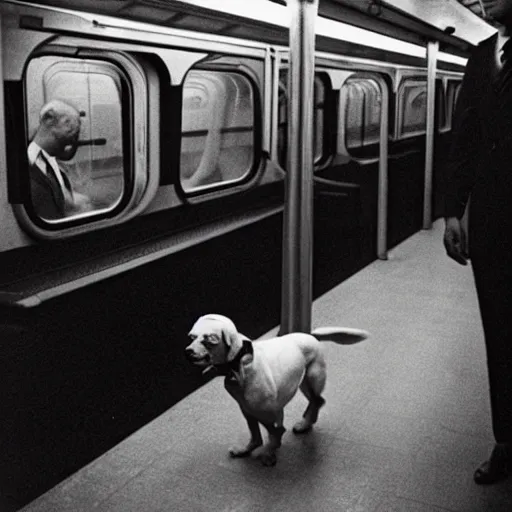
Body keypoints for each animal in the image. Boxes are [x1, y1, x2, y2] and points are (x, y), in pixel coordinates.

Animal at [185, 314, 368, 466]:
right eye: (192, 337)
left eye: (210, 339)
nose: (188, 351)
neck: (240, 364)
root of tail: (310, 335)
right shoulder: (248, 411)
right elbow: (257, 436)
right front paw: (247, 449)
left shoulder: (271, 412)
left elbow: (276, 433)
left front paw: (269, 454)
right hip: (303, 384)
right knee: (315, 401)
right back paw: (306, 423)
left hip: (311, 379)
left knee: (318, 400)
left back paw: (305, 423)